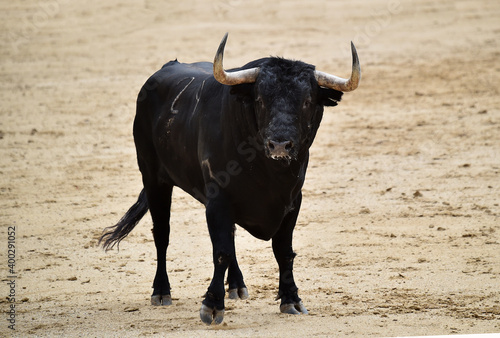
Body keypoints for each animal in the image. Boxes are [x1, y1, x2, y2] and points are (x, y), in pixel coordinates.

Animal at [100, 34, 360, 324]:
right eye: (260, 99)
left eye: (306, 101)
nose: (280, 145)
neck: (269, 174)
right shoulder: (218, 200)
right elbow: (221, 251)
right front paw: (212, 305)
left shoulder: (292, 201)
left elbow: (283, 251)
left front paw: (291, 299)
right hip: (153, 177)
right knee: (162, 234)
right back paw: (161, 291)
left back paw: (236, 285)